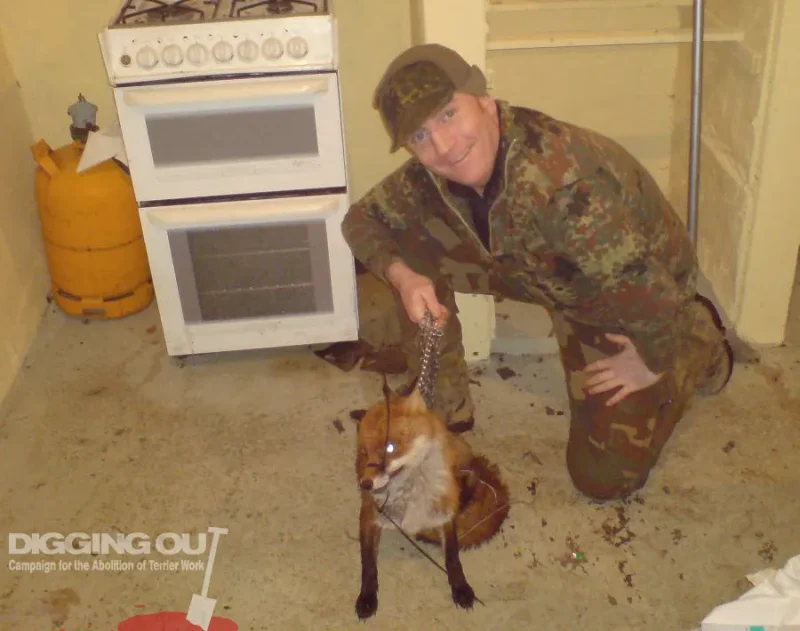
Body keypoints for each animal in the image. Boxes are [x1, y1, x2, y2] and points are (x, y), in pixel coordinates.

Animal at [354, 378, 510, 620]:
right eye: (363, 452)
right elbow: (368, 563)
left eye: (390, 447)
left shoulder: (444, 514)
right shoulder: (369, 515)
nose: (366, 485)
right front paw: (367, 596)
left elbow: (452, 556)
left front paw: (460, 587)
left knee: (470, 480)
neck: (410, 495)